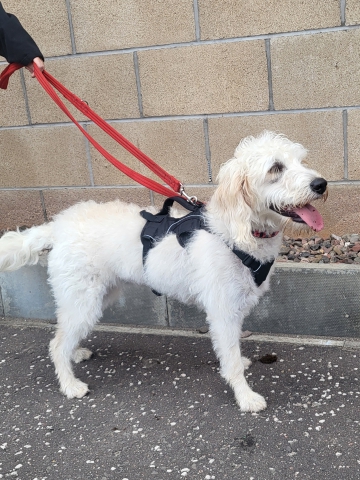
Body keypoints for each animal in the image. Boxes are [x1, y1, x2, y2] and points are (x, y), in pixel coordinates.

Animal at [0, 131, 326, 412]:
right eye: (275, 168)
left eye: (301, 161)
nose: (321, 184)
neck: (237, 231)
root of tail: (57, 226)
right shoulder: (222, 310)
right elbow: (230, 359)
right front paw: (245, 397)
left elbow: (232, 349)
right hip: (83, 298)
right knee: (56, 344)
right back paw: (69, 384)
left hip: (98, 295)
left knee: (66, 333)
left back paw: (75, 352)